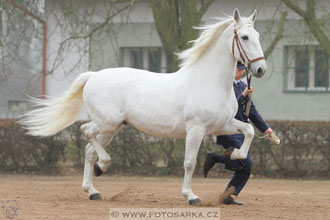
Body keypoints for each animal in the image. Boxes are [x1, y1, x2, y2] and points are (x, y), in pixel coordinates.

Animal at [21, 8, 266, 205]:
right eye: (244, 37)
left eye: (258, 36)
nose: (261, 70)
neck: (209, 82)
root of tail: (93, 76)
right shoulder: (196, 130)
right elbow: (189, 163)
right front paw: (191, 196)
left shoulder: (222, 125)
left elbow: (249, 130)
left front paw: (235, 155)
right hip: (106, 122)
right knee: (85, 131)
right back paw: (103, 167)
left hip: (112, 128)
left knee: (89, 151)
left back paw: (93, 190)